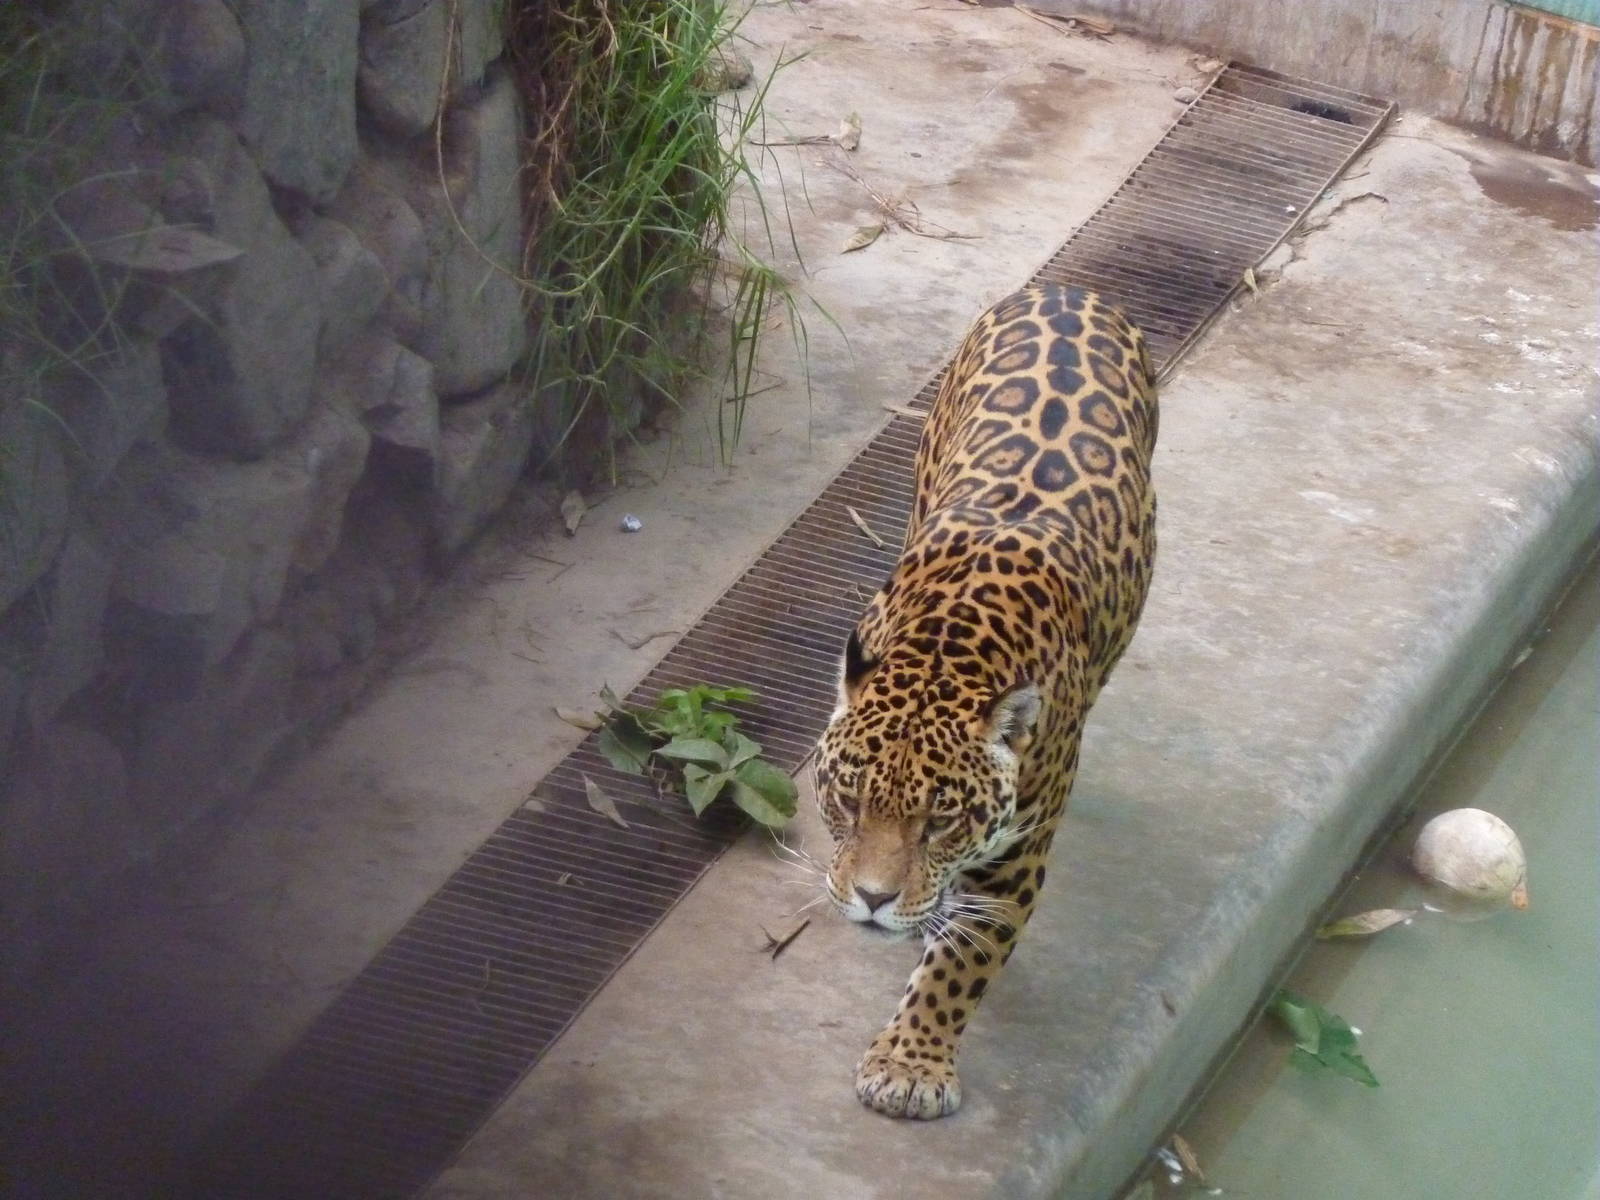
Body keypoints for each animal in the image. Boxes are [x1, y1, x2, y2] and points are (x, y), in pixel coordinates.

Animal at [813, 282, 1158, 1119]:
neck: (946, 651)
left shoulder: (1017, 856)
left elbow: (959, 966)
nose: (871, 900)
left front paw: (910, 1067)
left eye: (940, 820)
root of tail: (1069, 291)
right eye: (847, 800)